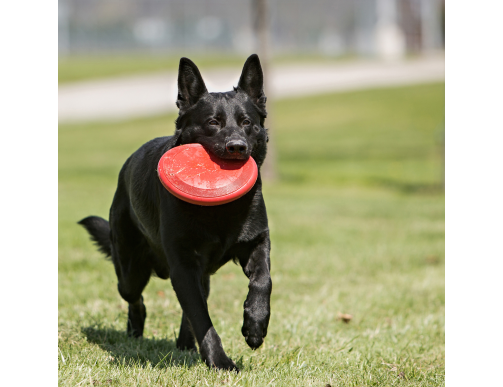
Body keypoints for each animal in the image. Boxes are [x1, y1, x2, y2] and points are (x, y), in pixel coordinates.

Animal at [79, 54, 272, 372]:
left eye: (247, 123)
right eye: (213, 123)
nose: (237, 147)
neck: (220, 210)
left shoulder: (256, 243)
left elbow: (262, 281)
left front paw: (255, 326)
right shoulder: (182, 264)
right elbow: (201, 317)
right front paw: (220, 361)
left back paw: (185, 344)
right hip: (131, 270)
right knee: (136, 298)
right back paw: (136, 330)